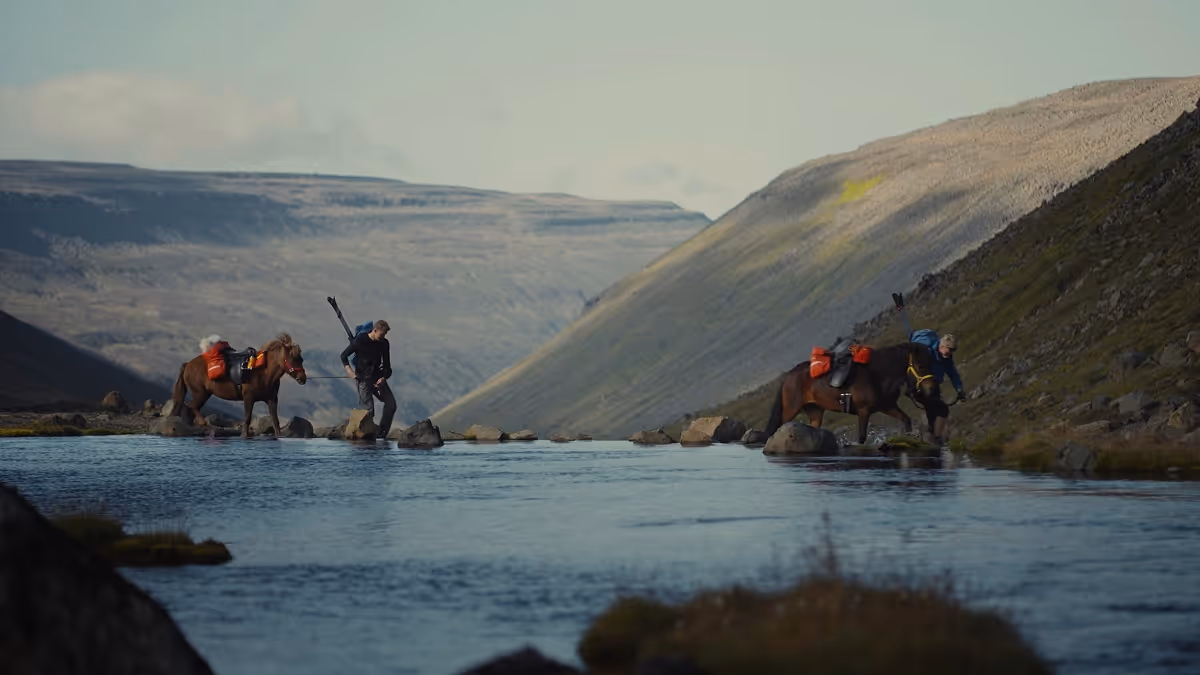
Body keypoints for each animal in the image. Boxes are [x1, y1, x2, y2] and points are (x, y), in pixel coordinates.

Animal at [170, 333, 308, 437]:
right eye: (292, 358)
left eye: (301, 359)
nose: (303, 378)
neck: (264, 373)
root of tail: (188, 364)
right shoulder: (248, 398)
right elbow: (247, 418)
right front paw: (244, 435)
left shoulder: (272, 399)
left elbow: (275, 421)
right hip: (200, 393)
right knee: (192, 406)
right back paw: (204, 424)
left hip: (204, 393)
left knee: (191, 408)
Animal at [764, 341, 940, 445]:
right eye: (921, 365)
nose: (932, 389)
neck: (877, 374)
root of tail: (789, 375)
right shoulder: (863, 411)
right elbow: (861, 437)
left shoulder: (887, 406)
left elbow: (906, 420)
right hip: (791, 409)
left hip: (815, 410)